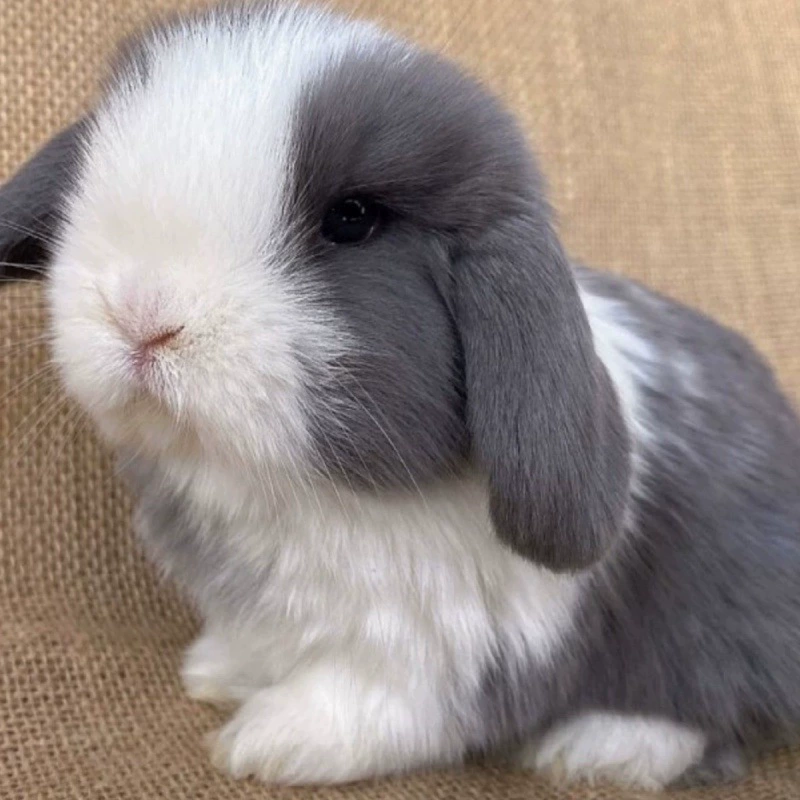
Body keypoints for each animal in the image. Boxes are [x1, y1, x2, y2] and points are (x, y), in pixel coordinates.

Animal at [2, 1, 799, 790]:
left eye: (353, 218)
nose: (142, 314)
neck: (285, 491)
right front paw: (217, 670)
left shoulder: (440, 648)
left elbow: (372, 703)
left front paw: (270, 741)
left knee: (719, 713)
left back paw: (601, 749)